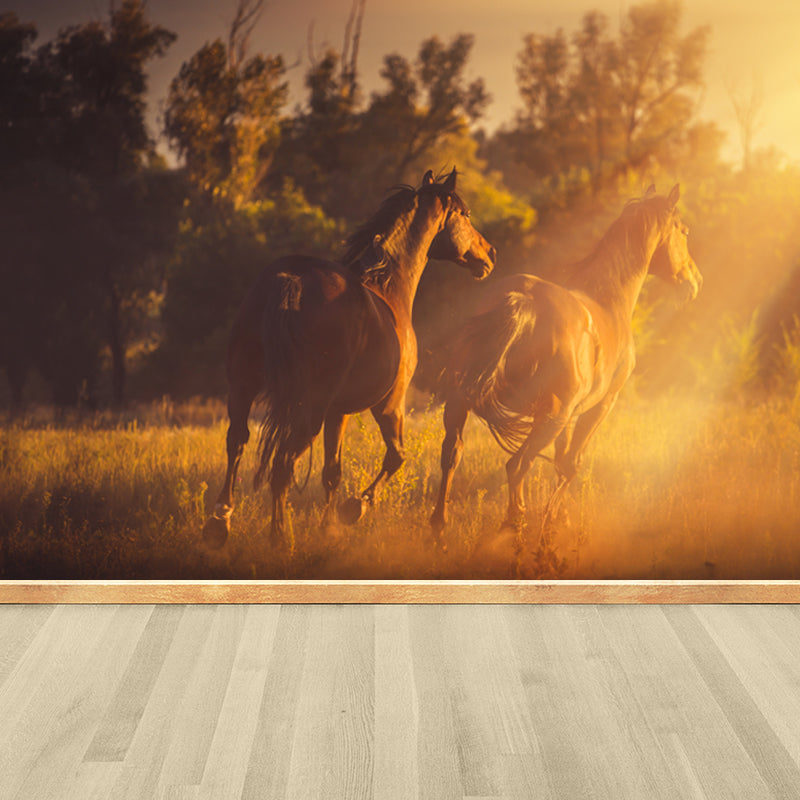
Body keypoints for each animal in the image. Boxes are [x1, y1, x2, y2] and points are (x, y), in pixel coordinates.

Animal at [202, 168, 496, 549]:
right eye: (465, 215)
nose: (489, 253)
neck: (387, 286)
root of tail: (290, 279)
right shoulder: (389, 405)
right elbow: (396, 457)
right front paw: (354, 509)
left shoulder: (337, 412)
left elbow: (332, 471)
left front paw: (329, 528)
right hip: (308, 409)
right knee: (283, 464)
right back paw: (280, 536)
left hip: (243, 388)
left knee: (237, 443)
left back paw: (219, 523)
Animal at [430, 184, 702, 545]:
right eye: (683, 231)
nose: (695, 282)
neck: (608, 300)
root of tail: (524, 301)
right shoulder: (599, 406)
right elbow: (571, 463)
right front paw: (554, 523)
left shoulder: (572, 414)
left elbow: (560, 462)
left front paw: (558, 519)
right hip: (549, 419)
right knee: (518, 465)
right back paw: (514, 526)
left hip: (462, 402)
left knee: (452, 454)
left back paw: (439, 528)